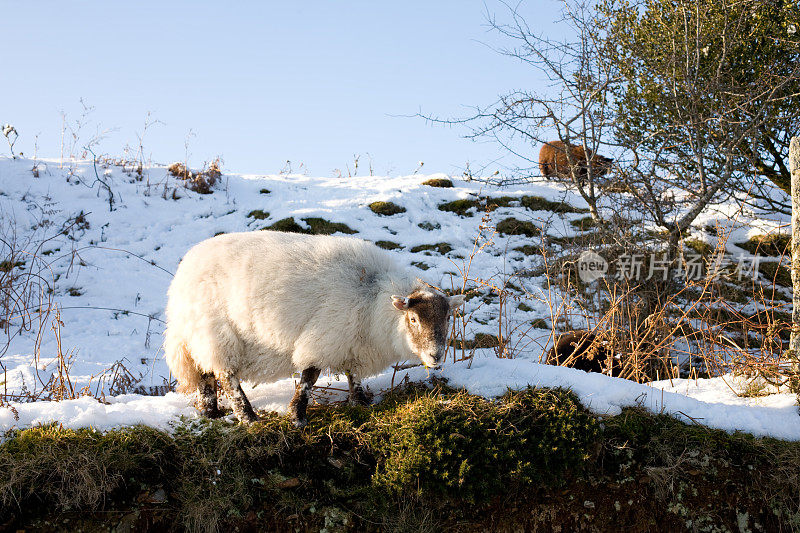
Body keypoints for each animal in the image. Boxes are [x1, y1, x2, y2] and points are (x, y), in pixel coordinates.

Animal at [164, 231, 462, 426]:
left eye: (448, 318)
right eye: (413, 320)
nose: (436, 356)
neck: (373, 298)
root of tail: (183, 273)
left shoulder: (352, 343)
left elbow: (353, 375)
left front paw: (360, 403)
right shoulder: (325, 337)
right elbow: (309, 378)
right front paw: (297, 416)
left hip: (198, 336)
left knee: (205, 374)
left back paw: (210, 412)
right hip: (216, 332)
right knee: (225, 376)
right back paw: (248, 417)